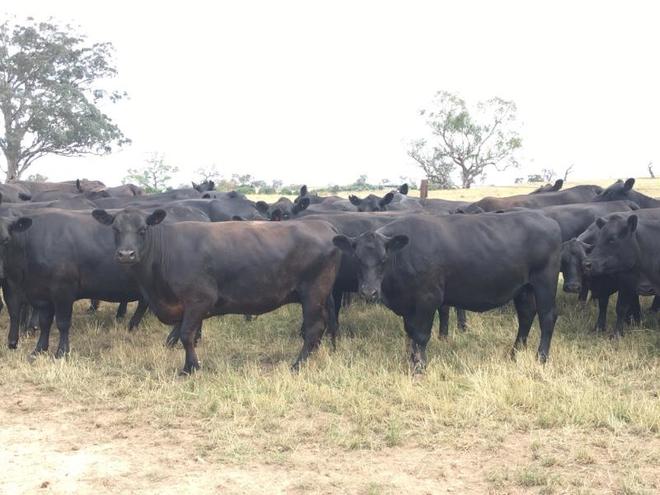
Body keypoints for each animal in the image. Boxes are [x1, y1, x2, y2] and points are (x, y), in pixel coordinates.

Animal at [92, 208, 342, 374]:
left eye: (143, 229)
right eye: (115, 229)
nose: (126, 254)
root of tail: (324, 225)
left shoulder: (199, 299)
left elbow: (186, 335)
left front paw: (190, 368)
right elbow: (184, 334)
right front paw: (189, 365)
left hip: (313, 294)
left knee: (313, 329)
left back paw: (297, 365)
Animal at [332, 211, 561, 370]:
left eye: (383, 259)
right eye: (357, 259)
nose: (368, 292)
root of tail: (547, 220)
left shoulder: (427, 299)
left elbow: (421, 335)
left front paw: (420, 367)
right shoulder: (408, 305)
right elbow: (410, 333)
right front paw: (410, 360)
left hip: (544, 282)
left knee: (547, 317)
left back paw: (541, 358)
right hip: (524, 288)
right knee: (526, 315)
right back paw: (514, 354)